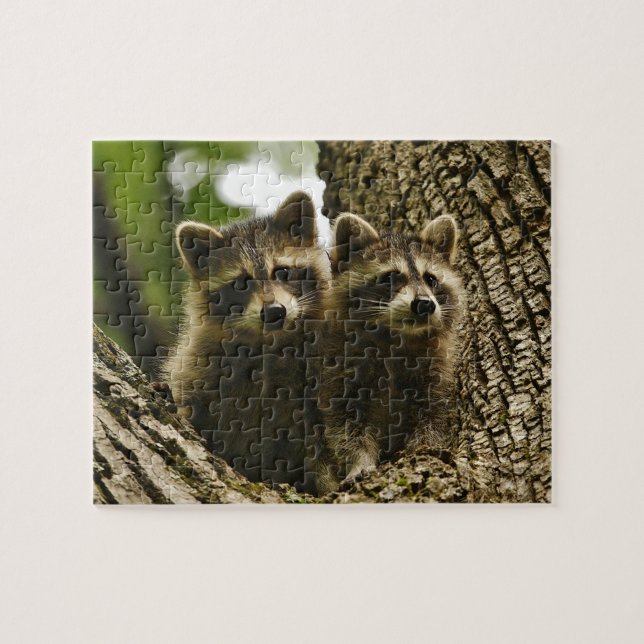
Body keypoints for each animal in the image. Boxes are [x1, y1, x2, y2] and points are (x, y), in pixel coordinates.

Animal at [317, 213, 464, 494]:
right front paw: (359, 462)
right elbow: (346, 428)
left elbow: (432, 419)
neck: (396, 338)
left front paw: (423, 448)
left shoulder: (434, 372)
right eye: (391, 278)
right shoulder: (339, 369)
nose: (425, 305)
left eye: (431, 279)